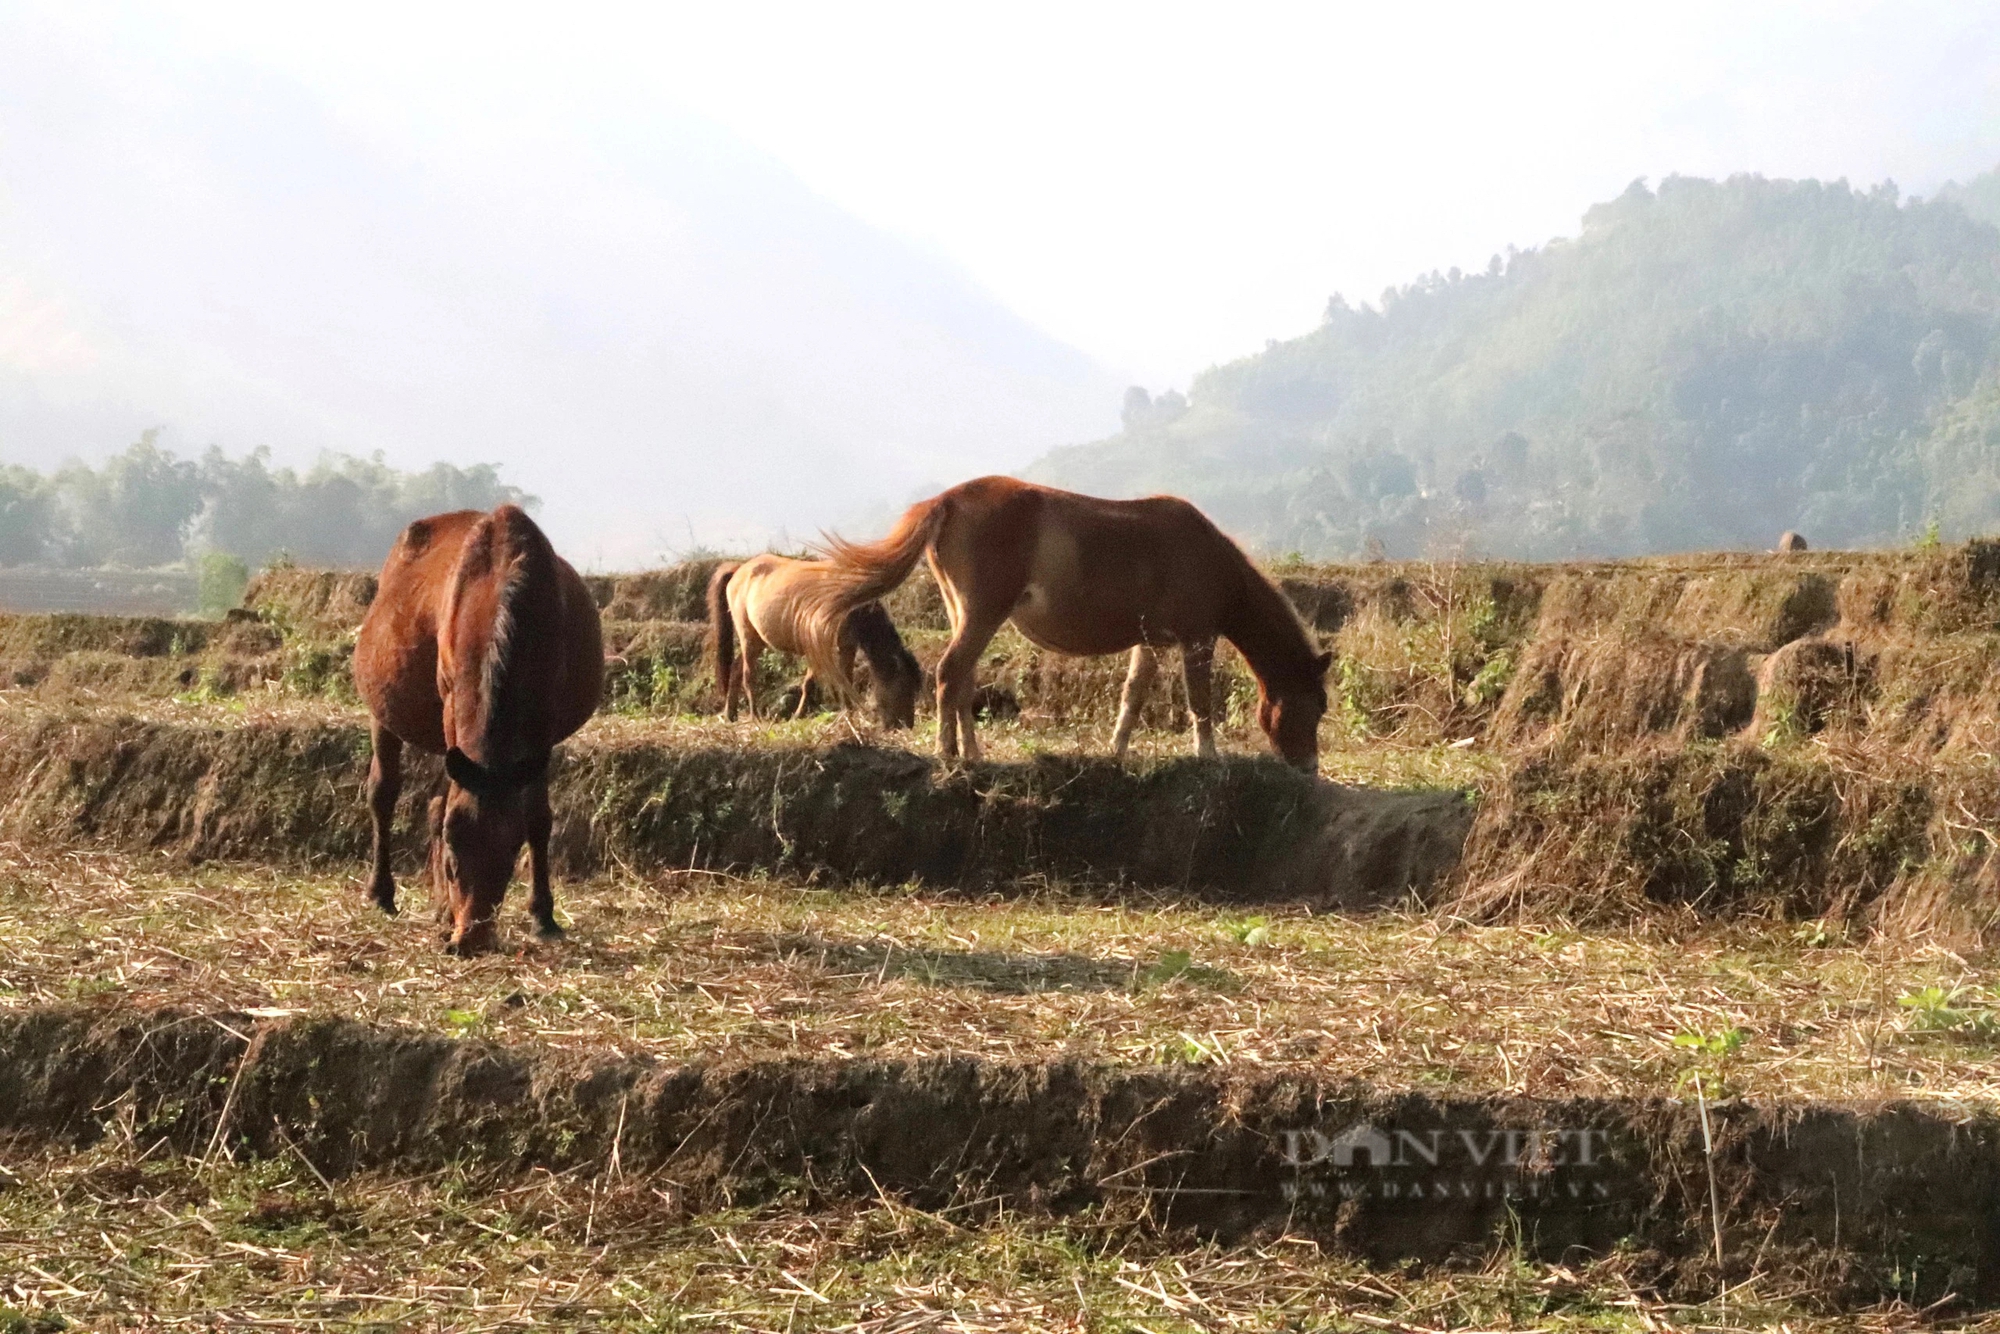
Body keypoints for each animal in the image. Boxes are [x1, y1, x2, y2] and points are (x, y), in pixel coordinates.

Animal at [354, 506, 600, 956]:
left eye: (509, 854)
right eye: (453, 856)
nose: (471, 937)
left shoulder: (542, 725)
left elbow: (538, 817)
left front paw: (543, 915)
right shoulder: (452, 698)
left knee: (436, 800)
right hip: (384, 711)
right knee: (383, 792)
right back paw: (382, 893)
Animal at [704, 560, 920, 736]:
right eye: (903, 686)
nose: (906, 725)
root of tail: (739, 569)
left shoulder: (847, 646)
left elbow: (846, 680)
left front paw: (848, 715)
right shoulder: (820, 646)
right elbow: (812, 683)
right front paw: (798, 715)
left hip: (758, 640)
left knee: (735, 669)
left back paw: (730, 714)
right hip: (747, 636)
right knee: (748, 676)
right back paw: (755, 716)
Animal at [804, 478, 1336, 772]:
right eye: (1315, 706)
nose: (1309, 768)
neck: (1210, 558)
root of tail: (948, 501)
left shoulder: (1151, 642)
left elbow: (1133, 695)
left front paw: (1117, 750)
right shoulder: (1196, 640)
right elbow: (1199, 701)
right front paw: (1208, 755)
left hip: (965, 614)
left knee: (962, 679)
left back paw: (970, 753)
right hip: (983, 613)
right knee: (950, 673)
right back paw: (949, 754)